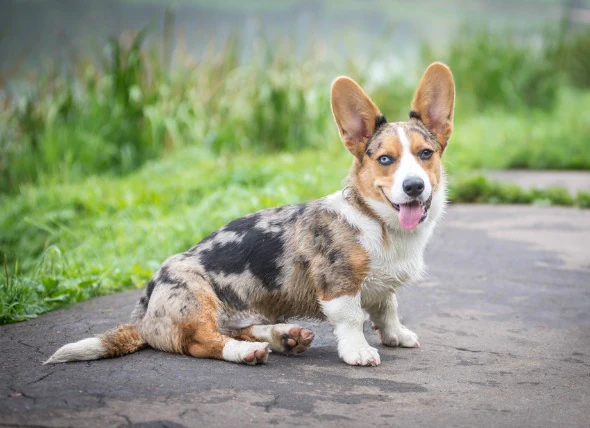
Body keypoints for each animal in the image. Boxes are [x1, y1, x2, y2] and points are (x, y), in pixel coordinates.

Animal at [46, 63, 458, 368]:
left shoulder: (382, 288)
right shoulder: (339, 285)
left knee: (236, 329)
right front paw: (359, 351)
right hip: (196, 298)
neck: (379, 223)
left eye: (425, 154)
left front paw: (397, 335)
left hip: (241, 313)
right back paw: (248, 352)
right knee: (203, 342)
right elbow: (353, 318)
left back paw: (283, 336)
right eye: (385, 159)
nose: (414, 187)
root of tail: (144, 313)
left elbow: (387, 309)